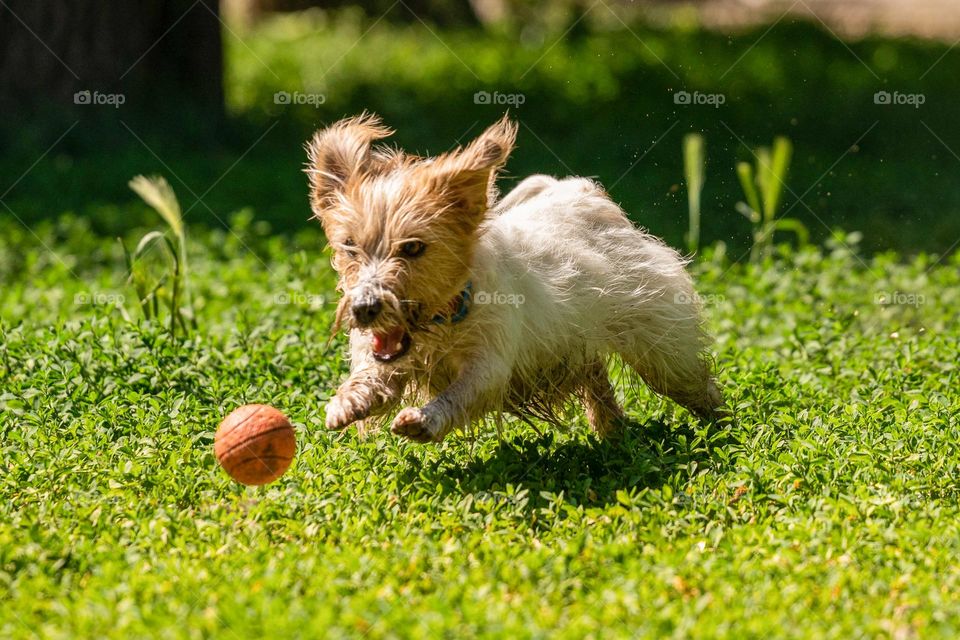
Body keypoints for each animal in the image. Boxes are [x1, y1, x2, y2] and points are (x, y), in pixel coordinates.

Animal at [306, 115, 720, 442]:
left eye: (412, 248)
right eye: (350, 247)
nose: (364, 308)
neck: (445, 318)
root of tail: (578, 189)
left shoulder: (489, 365)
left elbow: (460, 394)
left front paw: (424, 420)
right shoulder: (383, 358)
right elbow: (373, 380)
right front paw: (345, 403)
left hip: (661, 348)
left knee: (695, 385)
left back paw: (723, 426)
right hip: (576, 341)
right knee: (596, 378)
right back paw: (611, 429)